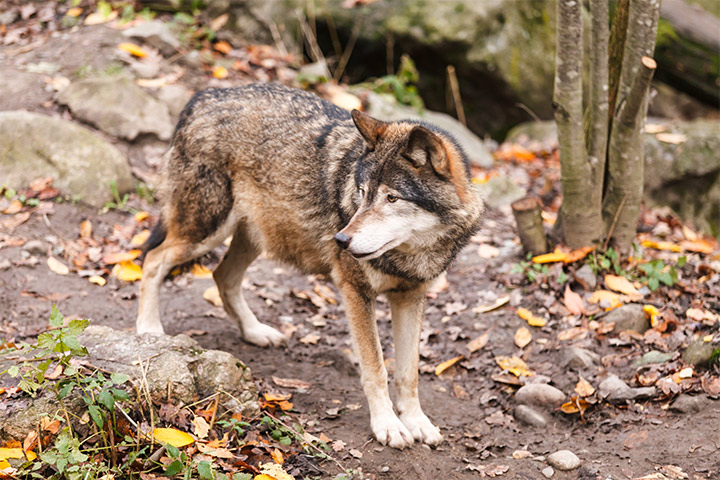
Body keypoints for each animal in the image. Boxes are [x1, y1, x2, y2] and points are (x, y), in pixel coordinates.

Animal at [136, 80, 484, 448]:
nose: (341, 240)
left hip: (254, 237)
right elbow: (376, 367)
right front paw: (388, 425)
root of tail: (201, 97)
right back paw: (149, 329)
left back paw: (256, 332)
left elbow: (408, 372)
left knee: (222, 276)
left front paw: (416, 422)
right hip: (207, 231)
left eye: (392, 198)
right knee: (153, 260)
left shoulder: (412, 297)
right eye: (361, 193)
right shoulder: (356, 291)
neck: (410, 254)